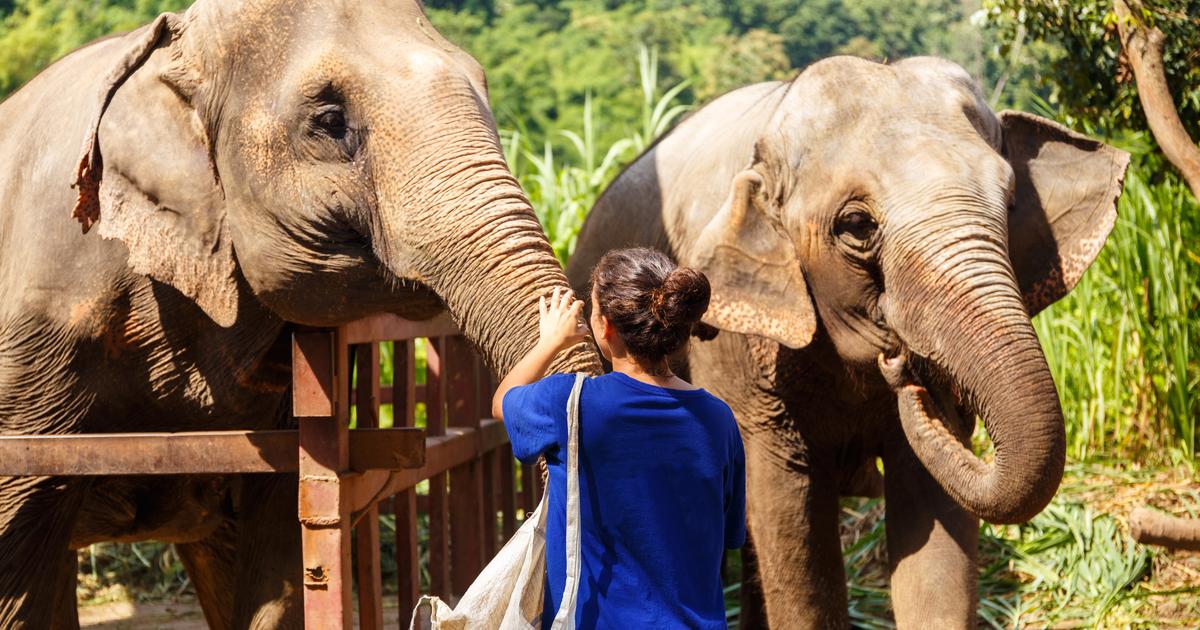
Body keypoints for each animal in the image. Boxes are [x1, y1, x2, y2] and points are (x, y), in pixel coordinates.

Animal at [566, 56, 1128, 624]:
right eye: (856, 225)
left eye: (1011, 202)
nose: (908, 373)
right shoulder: (736, 355)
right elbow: (789, 516)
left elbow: (934, 522)